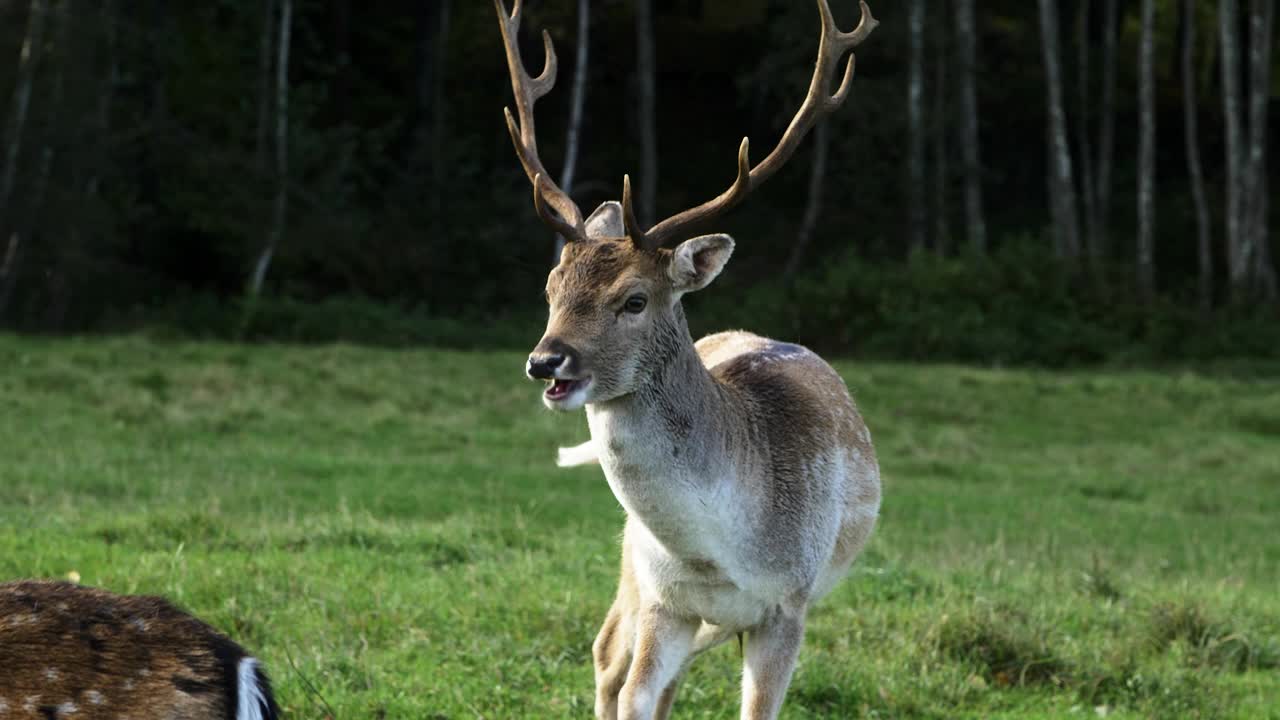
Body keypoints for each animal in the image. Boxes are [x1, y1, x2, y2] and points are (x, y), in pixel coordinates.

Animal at [494, 1, 885, 717]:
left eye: (635, 299)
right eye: (552, 286)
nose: (546, 361)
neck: (719, 551)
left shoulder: (788, 606)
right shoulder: (665, 599)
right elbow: (634, 694)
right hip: (636, 563)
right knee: (607, 654)